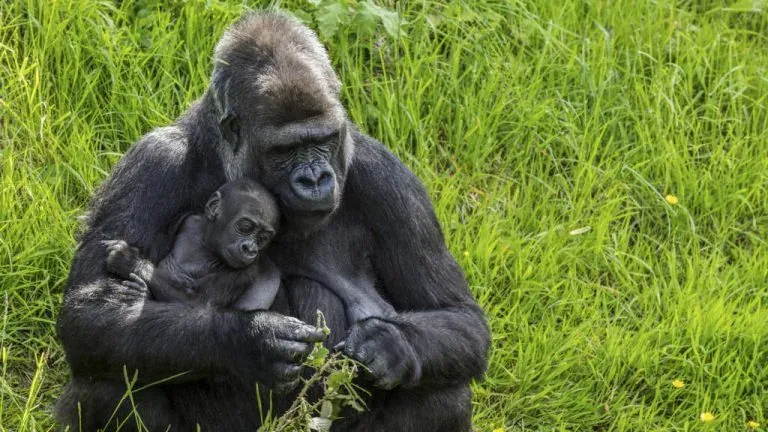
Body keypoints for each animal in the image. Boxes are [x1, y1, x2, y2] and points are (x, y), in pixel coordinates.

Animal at [56, 11, 489, 432]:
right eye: (286, 150)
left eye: (324, 140)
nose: (314, 179)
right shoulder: (152, 165)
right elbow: (92, 314)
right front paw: (252, 342)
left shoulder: (391, 181)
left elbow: (460, 317)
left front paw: (388, 345)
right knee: (107, 377)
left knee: (442, 391)